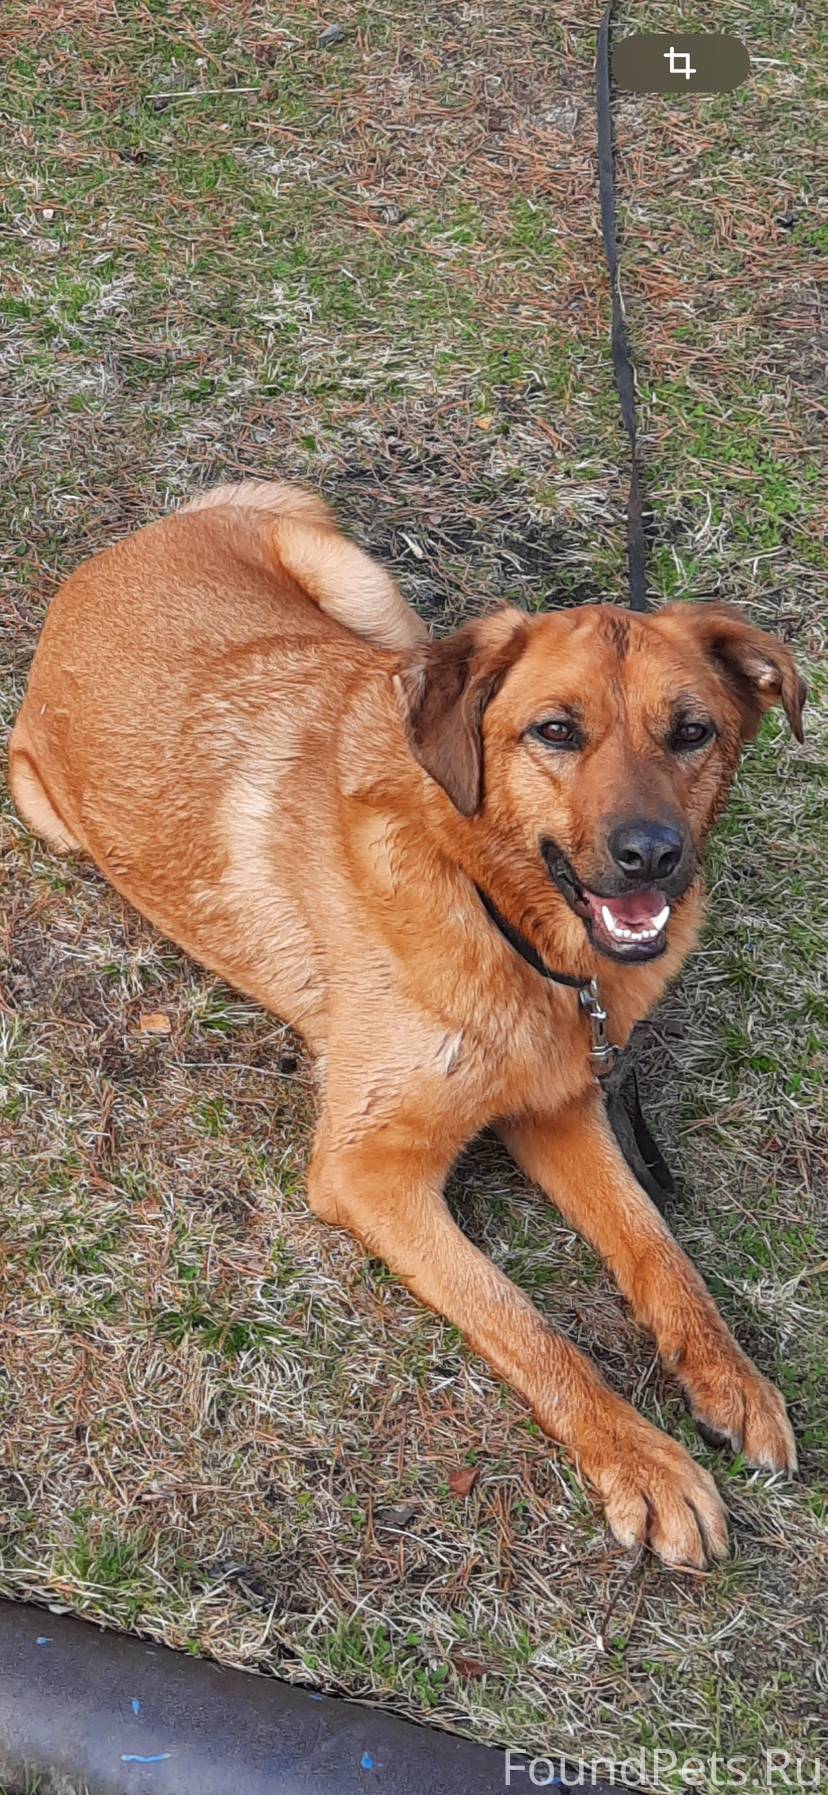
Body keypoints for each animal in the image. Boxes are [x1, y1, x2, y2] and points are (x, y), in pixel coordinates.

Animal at [9, 480, 805, 1569]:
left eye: (692, 732)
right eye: (556, 731)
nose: (653, 856)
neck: (492, 903)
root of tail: (122, 550)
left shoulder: (556, 1103)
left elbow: (655, 1247)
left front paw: (728, 1377)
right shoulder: (367, 1169)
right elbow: (529, 1326)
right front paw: (642, 1460)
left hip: (374, 608)